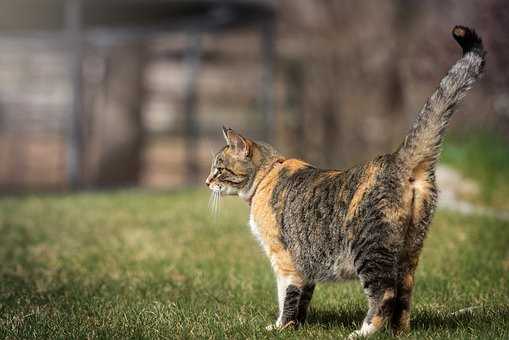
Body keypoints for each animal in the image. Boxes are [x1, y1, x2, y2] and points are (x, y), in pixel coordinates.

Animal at [203, 25, 484, 338]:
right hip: (411, 248)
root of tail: (397, 158)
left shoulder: (284, 260)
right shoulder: (304, 264)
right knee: (405, 294)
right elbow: (303, 298)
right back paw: (398, 332)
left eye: (218, 168)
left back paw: (363, 331)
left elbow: (286, 298)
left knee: (384, 293)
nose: (206, 182)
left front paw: (279, 327)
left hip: (371, 249)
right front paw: (297, 326)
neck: (266, 176)